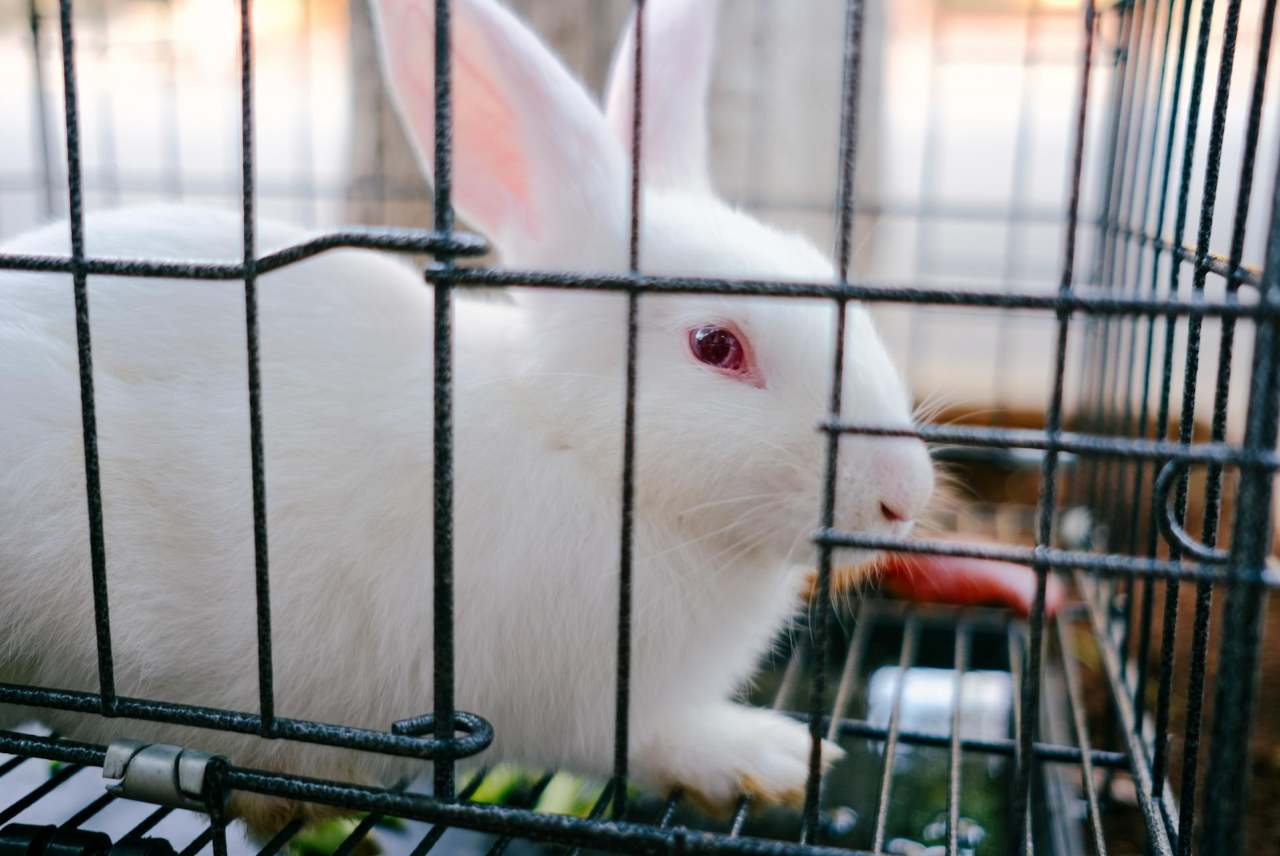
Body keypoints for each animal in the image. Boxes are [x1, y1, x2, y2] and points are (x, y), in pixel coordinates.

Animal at [0, 0, 933, 836]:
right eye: (716, 345)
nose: (903, 498)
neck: (579, 446)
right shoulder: (585, 701)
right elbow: (649, 742)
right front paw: (771, 757)